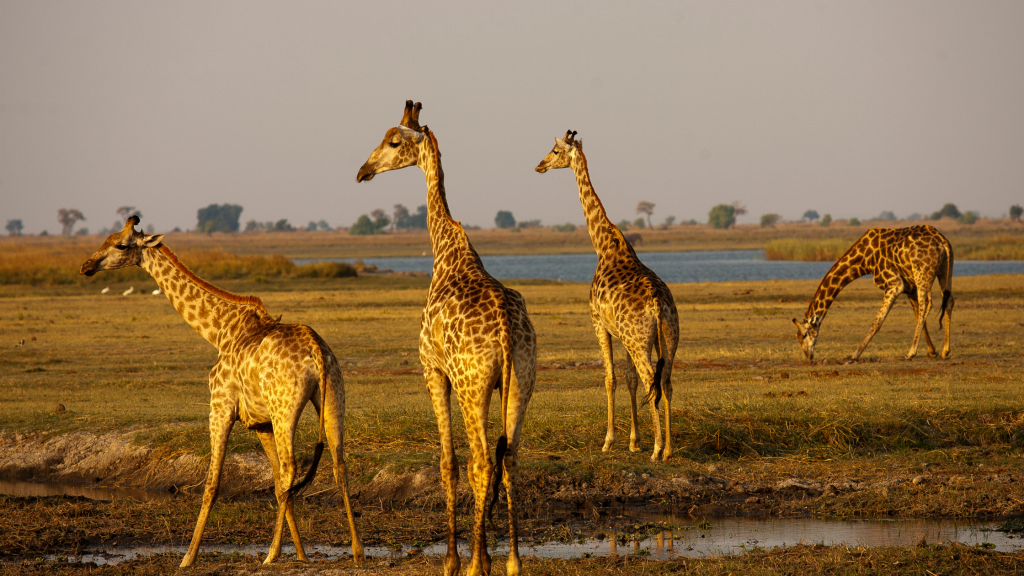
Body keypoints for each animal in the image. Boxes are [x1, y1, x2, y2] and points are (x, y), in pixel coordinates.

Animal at [78, 215, 364, 565]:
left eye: (120, 244)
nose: (87, 265)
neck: (219, 330)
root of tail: (316, 350)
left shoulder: (220, 407)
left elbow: (212, 484)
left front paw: (187, 559)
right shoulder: (261, 422)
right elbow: (276, 484)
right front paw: (301, 555)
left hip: (285, 408)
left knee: (292, 467)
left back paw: (270, 555)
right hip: (333, 396)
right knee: (337, 465)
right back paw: (357, 552)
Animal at [358, 99, 540, 573]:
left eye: (393, 140)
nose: (363, 170)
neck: (445, 250)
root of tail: (506, 331)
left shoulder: (433, 370)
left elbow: (448, 463)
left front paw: (454, 561)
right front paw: (483, 556)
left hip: (474, 385)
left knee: (481, 462)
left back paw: (477, 564)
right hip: (522, 382)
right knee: (510, 458)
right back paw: (513, 562)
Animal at [536, 127, 679, 459]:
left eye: (555, 150)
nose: (539, 166)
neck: (602, 246)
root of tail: (658, 303)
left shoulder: (598, 323)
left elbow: (610, 378)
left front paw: (609, 440)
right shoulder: (621, 333)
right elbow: (628, 379)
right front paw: (634, 441)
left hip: (639, 340)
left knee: (651, 378)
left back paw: (657, 449)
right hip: (669, 337)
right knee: (665, 380)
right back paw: (667, 449)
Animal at [794, 223, 954, 360]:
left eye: (804, 335)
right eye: (798, 337)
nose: (809, 356)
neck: (864, 260)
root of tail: (942, 242)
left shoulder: (895, 284)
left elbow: (877, 322)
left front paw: (854, 355)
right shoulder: (910, 287)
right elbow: (917, 316)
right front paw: (932, 351)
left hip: (922, 274)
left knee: (927, 304)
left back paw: (910, 353)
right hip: (944, 270)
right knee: (948, 301)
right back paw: (945, 351)